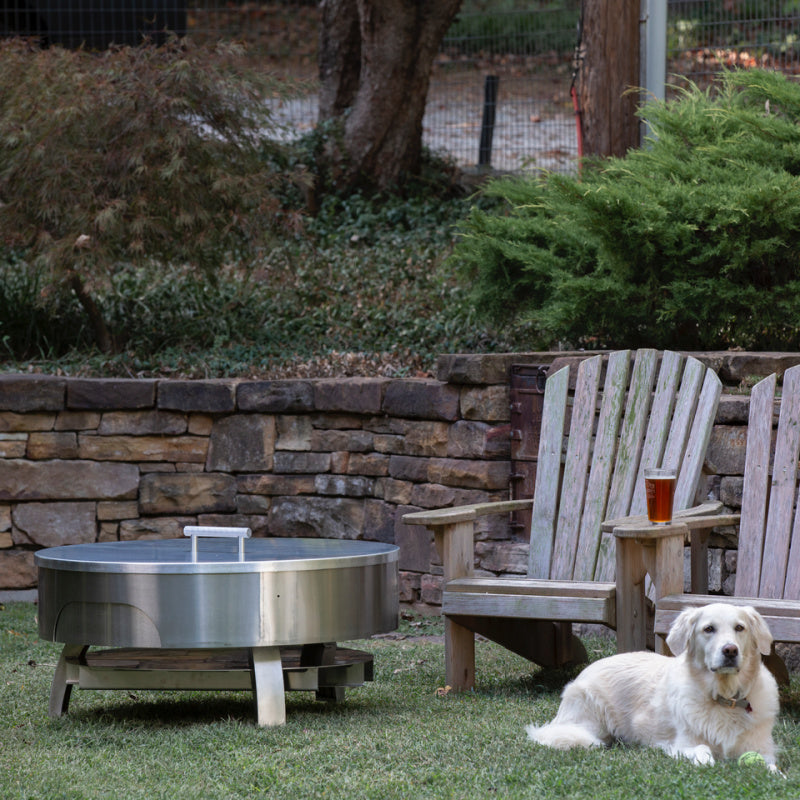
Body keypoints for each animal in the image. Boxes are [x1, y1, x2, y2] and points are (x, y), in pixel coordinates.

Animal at [528, 608, 780, 768]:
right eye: (709, 629)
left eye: (740, 627)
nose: (730, 650)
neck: (724, 698)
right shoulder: (680, 743)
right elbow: (703, 750)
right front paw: (704, 761)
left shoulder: (761, 748)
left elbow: (770, 766)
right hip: (587, 728)